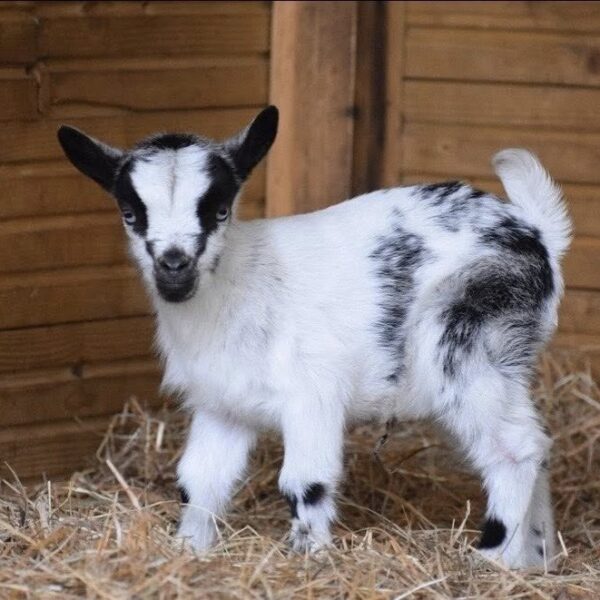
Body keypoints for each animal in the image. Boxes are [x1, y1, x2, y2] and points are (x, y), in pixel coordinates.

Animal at [57, 105, 571, 569]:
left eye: (220, 210)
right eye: (130, 213)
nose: (174, 266)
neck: (241, 282)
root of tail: (537, 233)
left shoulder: (312, 393)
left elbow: (305, 482)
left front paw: (309, 560)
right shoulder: (223, 407)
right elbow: (200, 481)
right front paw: (188, 553)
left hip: (466, 342)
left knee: (515, 449)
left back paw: (492, 560)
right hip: (504, 357)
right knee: (539, 443)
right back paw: (537, 560)